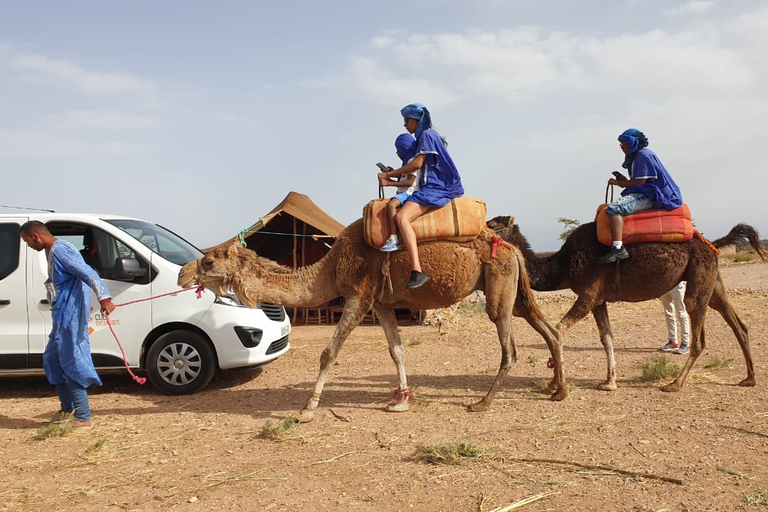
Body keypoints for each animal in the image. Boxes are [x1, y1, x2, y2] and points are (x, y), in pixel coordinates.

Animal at [177, 218, 568, 422]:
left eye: (208, 261)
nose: (182, 274)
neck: (331, 267)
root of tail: (511, 247)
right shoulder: (381, 303)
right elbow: (397, 351)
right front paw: (401, 400)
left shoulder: (359, 296)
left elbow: (329, 353)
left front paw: (307, 409)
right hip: (513, 290)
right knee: (548, 329)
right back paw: (557, 390)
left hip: (498, 287)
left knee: (510, 347)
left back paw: (482, 403)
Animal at [488, 216, 764, 392]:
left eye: (492, 224)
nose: (482, 233)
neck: (563, 264)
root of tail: (714, 245)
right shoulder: (598, 300)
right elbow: (607, 337)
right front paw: (609, 382)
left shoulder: (588, 294)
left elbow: (559, 329)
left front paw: (555, 383)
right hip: (712, 282)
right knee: (738, 325)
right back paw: (749, 378)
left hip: (698, 284)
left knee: (698, 336)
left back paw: (675, 384)